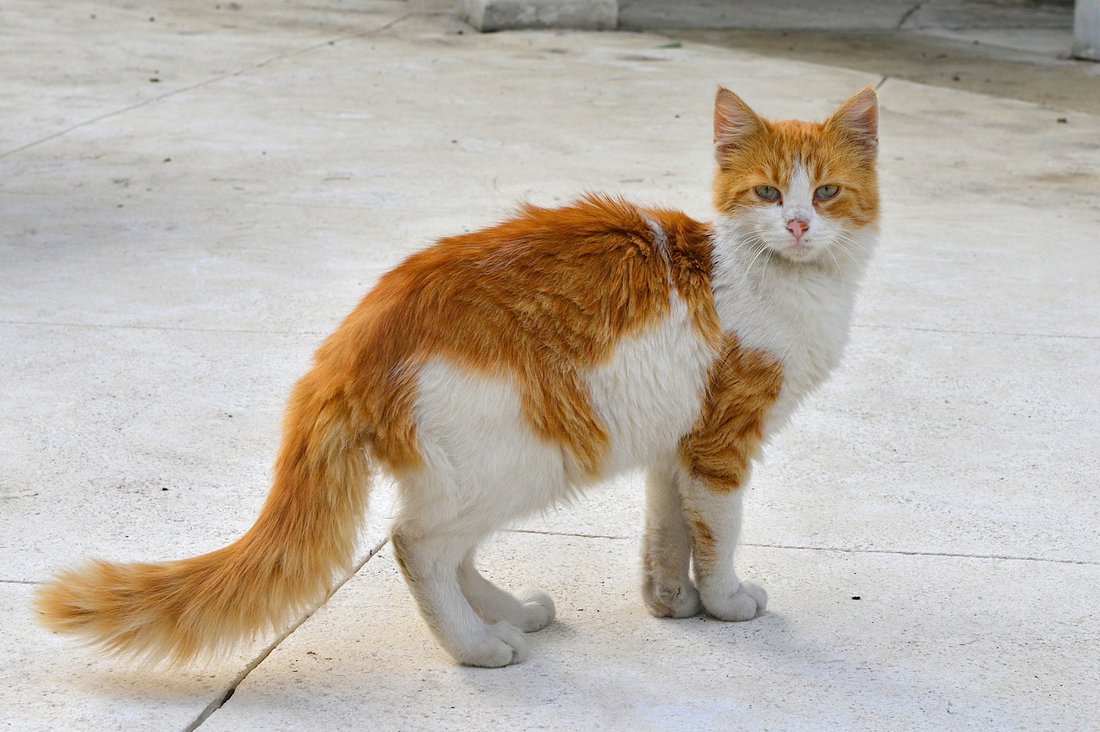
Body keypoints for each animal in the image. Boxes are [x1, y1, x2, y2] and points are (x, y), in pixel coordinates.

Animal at [36, 86, 879, 668]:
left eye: (826, 192)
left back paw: (508, 613)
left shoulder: (676, 444)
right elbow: (720, 531)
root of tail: (355, 337)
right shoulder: (721, 445)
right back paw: (476, 647)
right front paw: (728, 601)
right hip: (527, 453)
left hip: (499, 466)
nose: (799, 225)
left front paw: (672, 603)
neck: (758, 275)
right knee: (417, 546)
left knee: (455, 549)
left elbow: (667, 532)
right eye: (768, 193)